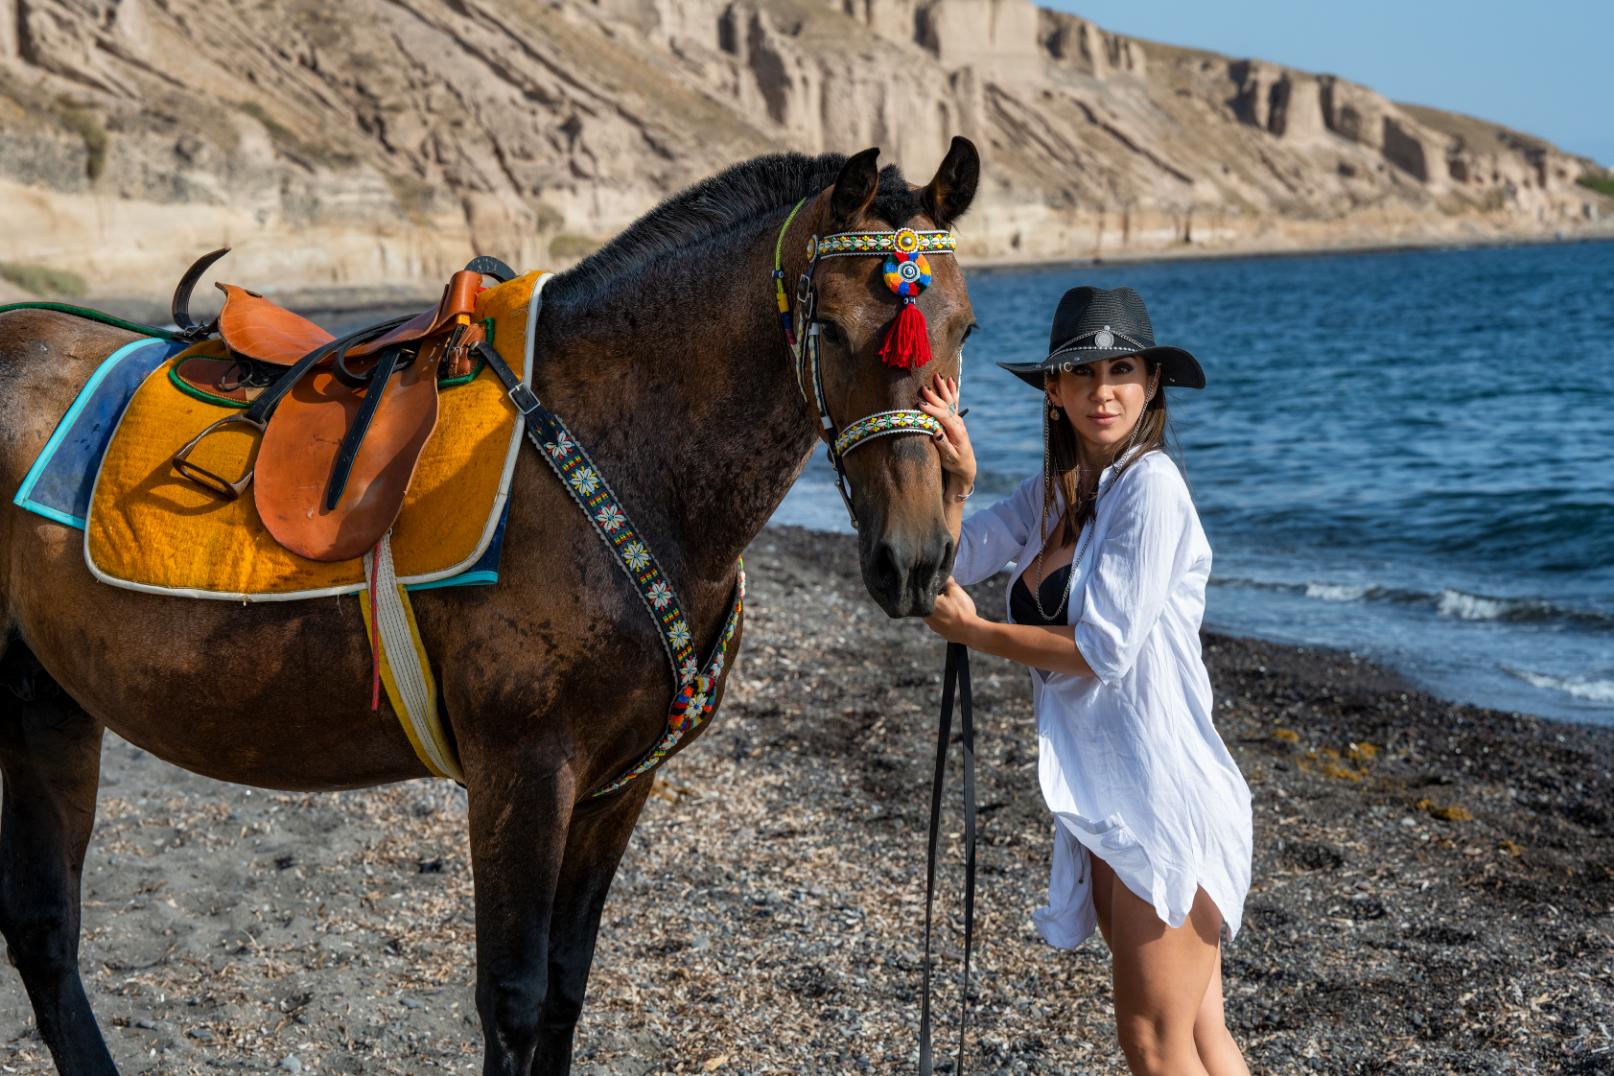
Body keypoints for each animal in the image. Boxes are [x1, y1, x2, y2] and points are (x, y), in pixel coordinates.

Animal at [0, 138, 980, 1074]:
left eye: (964, 327)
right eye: (829, 326)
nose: (915, 557)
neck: (623, 451)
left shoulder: (620, 784)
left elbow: (566, 989)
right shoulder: (525, 769)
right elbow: (513, 1001)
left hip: (49, 700)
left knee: (45, 933)